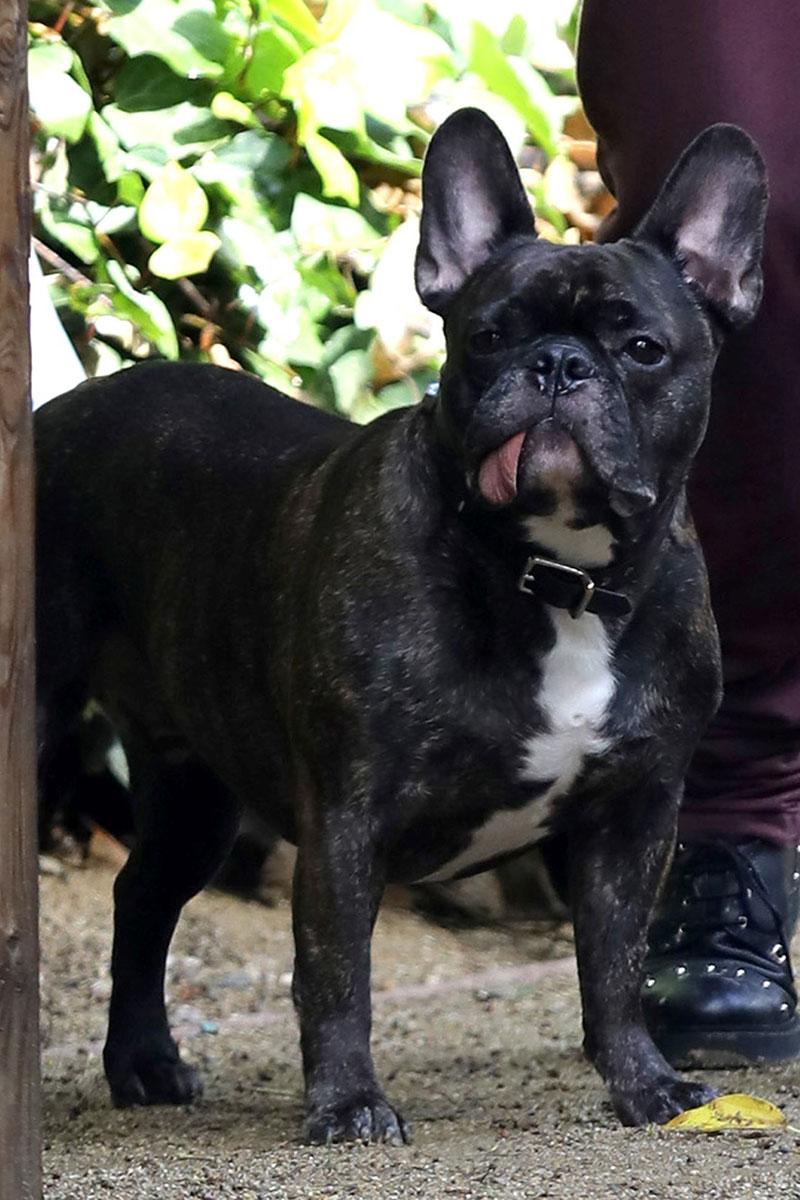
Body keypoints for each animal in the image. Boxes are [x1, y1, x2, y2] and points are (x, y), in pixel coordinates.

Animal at [37, 108, 767, 1137]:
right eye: (487, 336)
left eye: (643, 350)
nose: (557, 364)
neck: (552, 577)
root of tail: (61, 407)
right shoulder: (350, 813)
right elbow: (339, 971)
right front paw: (348, 1103)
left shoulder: (635, 815)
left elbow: (616, 964)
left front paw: (645, 1084)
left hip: (194, 788)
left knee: (143, 894)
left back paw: (143, 1063)